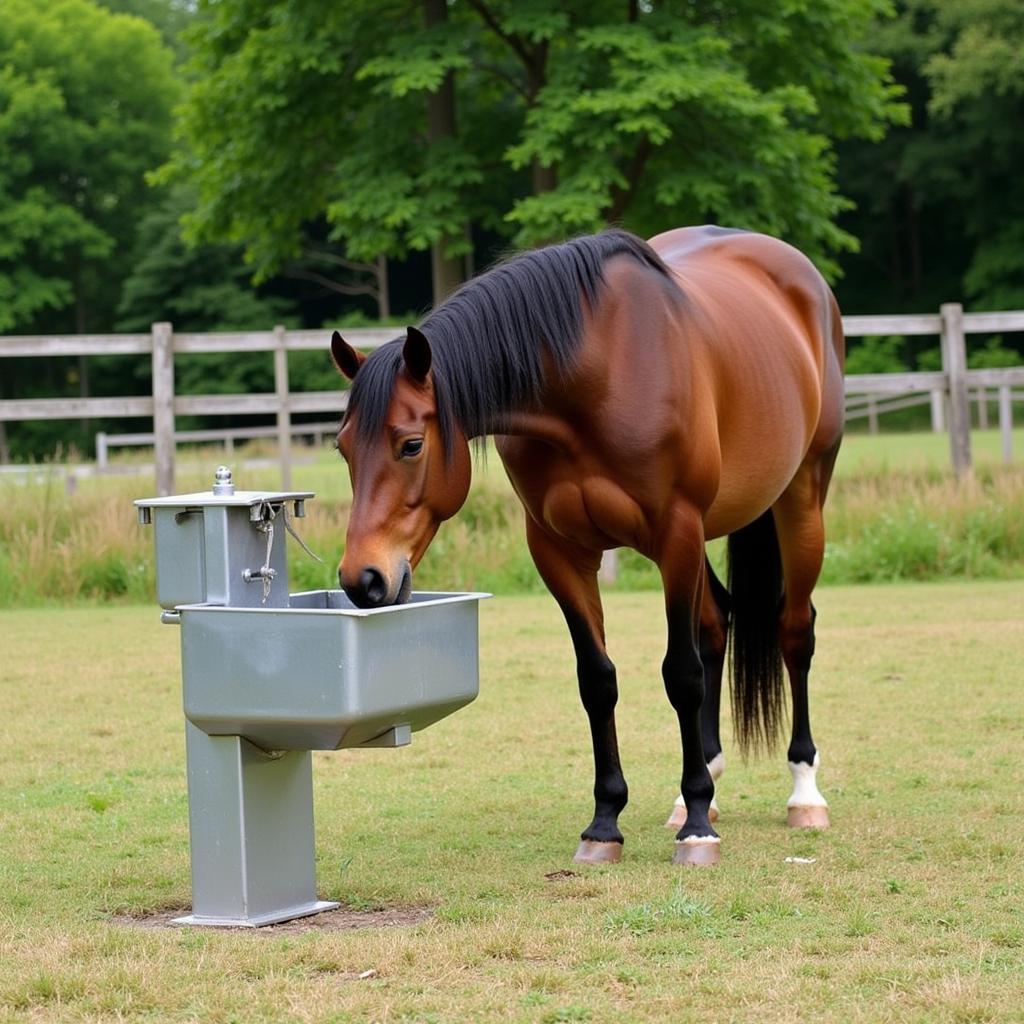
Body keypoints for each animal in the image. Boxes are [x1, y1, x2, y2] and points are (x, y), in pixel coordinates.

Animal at [331, 226, 843, 864]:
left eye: (410, 445)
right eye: (343, 448)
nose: (362, 578)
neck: (593, 377)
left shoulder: (675, 533)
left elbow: (683, 675)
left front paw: (698, 830)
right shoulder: (560, 551)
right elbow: (597, 680)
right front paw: (606, 823)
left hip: (801, 500)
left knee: (795, 631)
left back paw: (802, 794)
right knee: (716, 622)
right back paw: (701, 789)